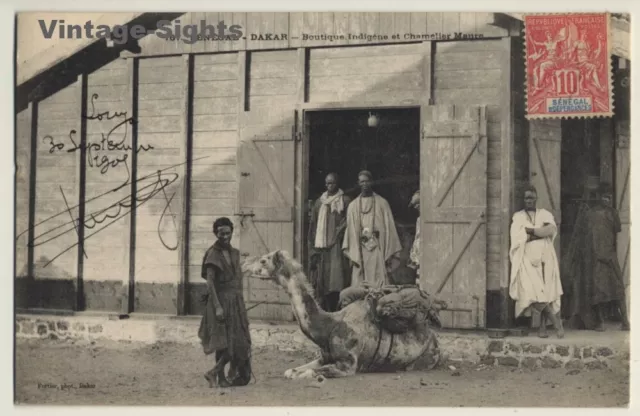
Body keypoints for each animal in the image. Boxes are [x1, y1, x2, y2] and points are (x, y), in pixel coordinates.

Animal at [245, 250, 444, 380]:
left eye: (263, 261)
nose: (245, 265)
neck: (328, 326)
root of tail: (433, 337)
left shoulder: (348, 365)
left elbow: (307, 373)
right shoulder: (324, 357)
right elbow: (291, 371)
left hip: (424, 360)